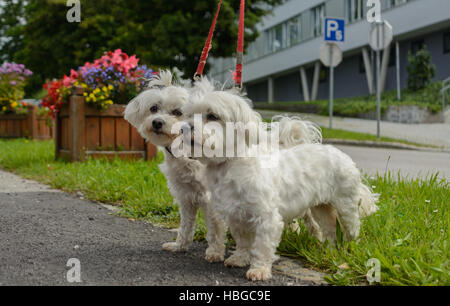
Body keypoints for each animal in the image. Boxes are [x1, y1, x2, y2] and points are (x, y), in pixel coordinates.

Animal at [181, 80, 378, 280]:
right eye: (188, 114)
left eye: (212, 116)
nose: (184, 127)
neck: (230, 163)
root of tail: (343, 156)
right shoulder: (237, 215)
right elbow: (243, 241)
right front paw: (239, 258)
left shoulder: (267, 217)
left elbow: (262, 246)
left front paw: (259, 270)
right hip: (321, 208)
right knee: (329, 230)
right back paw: (329, 251)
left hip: (346, 207)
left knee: (351, 230)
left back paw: (348, 252)